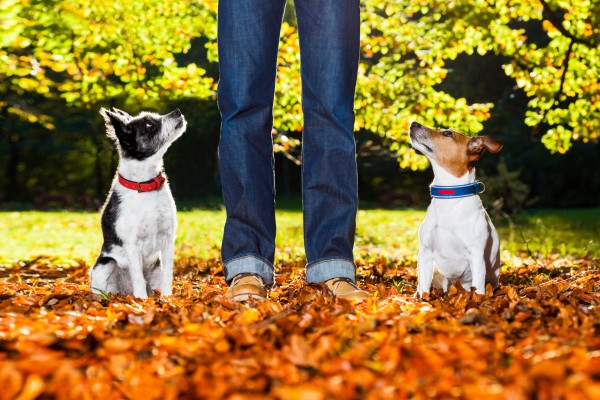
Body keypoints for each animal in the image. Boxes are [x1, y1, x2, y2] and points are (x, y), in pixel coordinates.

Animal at [90, 108, 185, 298]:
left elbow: (168, 273)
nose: (177, 111)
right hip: (105, 265)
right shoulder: (132, 243)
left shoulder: (168, 237)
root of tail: (125, 291)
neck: (145, 185)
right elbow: (138, 278)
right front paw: (142, 300)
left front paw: (167, 298)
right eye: (149, 124)